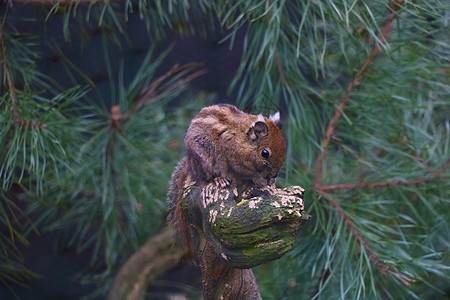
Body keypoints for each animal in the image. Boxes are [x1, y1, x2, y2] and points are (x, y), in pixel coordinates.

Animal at [167, 104, 286, 254]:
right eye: (265, 153)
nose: (275, 175)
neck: (243, 138)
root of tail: (190, 162)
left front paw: (270, 181)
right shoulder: (236, 161)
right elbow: (250, 174)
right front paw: (261, 181)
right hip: (206, 161)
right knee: (207, 177)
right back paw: (220, 179)